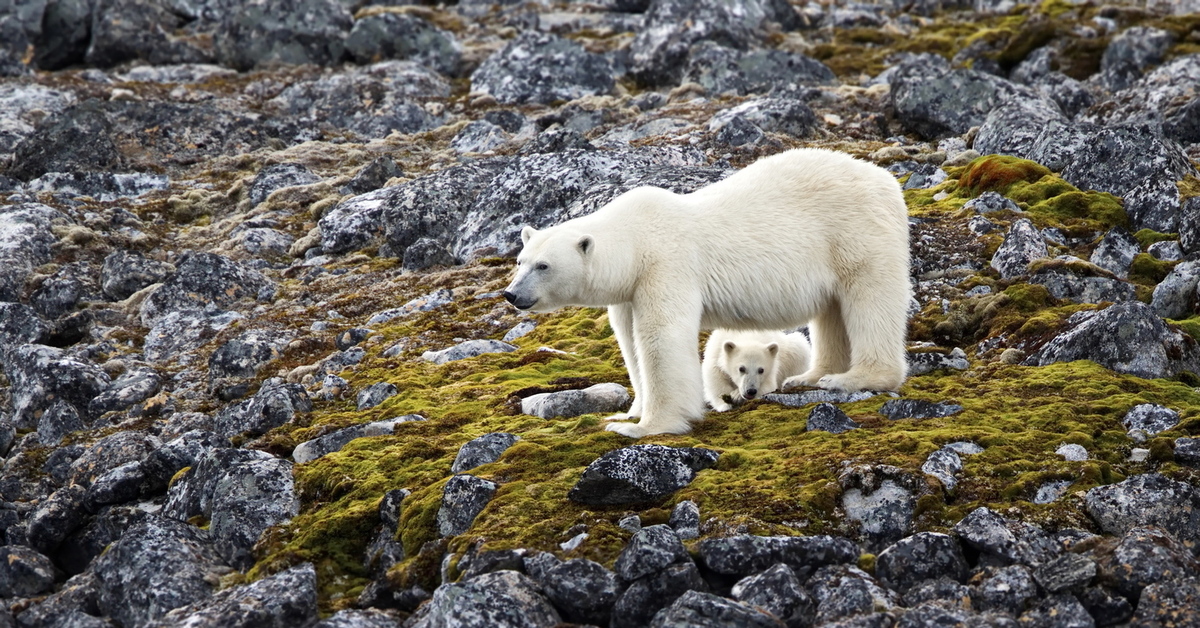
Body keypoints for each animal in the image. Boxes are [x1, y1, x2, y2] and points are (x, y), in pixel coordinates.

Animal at [504, 147, 907, 437]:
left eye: (544, 266)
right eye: (521, 260)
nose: (511, 294)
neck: (636, 239)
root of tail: (885, 178)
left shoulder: (666, 266)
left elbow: (660, 338)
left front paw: (644, 427)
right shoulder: (630, 291)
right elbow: (629, 342)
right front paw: (629, 412)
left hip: (856, 233)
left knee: (870, 299)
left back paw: (854, 377)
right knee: (831, 310)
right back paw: (809, 376)